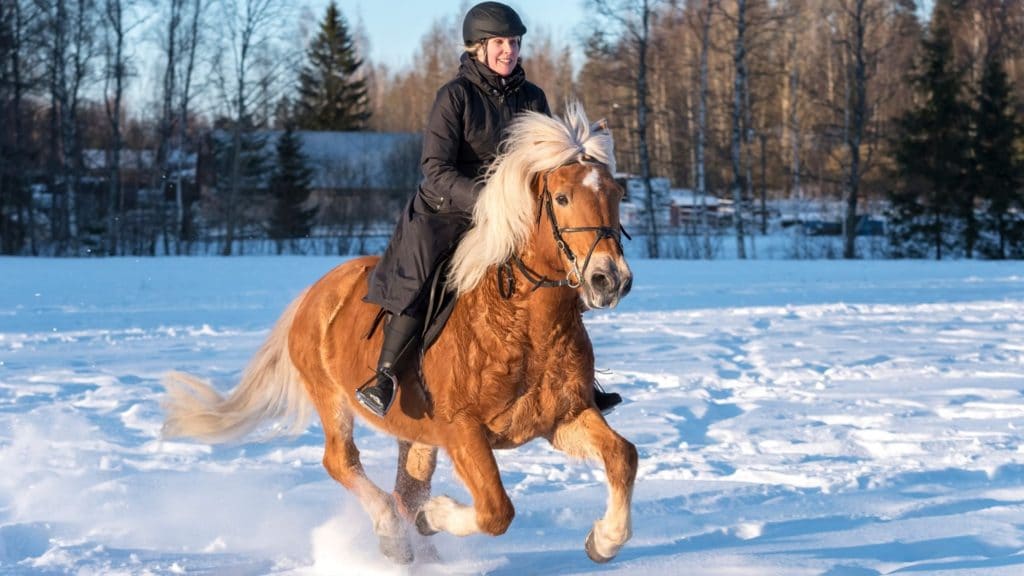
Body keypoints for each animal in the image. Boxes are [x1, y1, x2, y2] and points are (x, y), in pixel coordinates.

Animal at [160, 100, 634, 561]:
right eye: (562, 196)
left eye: (615, 194)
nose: (609, 280)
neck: (524, 327)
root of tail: (315, 292)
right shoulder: (462, 429)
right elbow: (496, 510)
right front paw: (437, 514)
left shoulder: (564, 417)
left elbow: (622, 456)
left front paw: (604, 540)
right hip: (332, 397)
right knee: (343, 462)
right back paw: (393, 536)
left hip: (416, 434)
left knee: (405, 488)